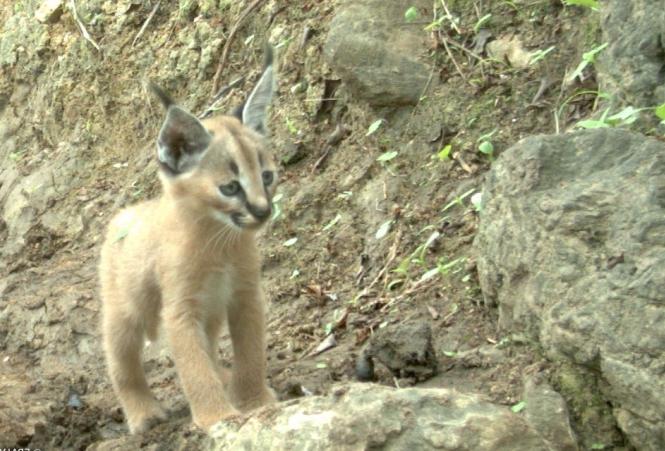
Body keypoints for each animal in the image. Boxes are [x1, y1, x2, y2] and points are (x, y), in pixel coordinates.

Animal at [98, 48, 278, 434]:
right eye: (230, 188)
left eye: (268, 176)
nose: (262, 210)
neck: (219, 242)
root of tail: (127, 211)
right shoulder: (180, 308)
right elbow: (193, 366)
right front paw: (217, 416)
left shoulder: (245, 293)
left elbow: (251, 350)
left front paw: (253, 400)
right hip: (125, 309)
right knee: (120, 360)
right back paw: (143, 413)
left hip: (209, 311)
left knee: (209, 344)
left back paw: (223, 376)